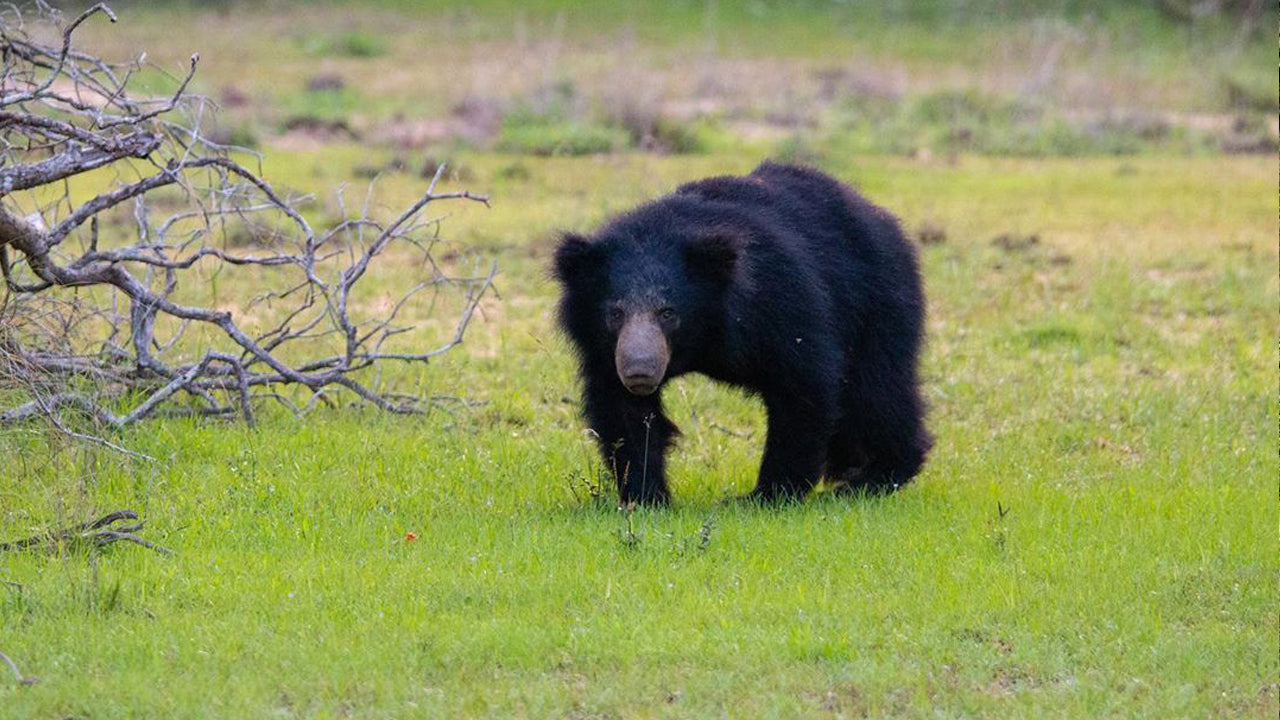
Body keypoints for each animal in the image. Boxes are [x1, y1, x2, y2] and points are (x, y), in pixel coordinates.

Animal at [550, 159, 931, 502]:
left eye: (668, 312)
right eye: (615, 313)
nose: (639, 370)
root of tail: (879, 215)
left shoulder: (780, 304)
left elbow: (802, 386)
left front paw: (766, 495)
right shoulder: (602, 350)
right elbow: (624, 412)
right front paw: (645, 497)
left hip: (877, 304)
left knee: (876, 390)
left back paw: (873, 475)